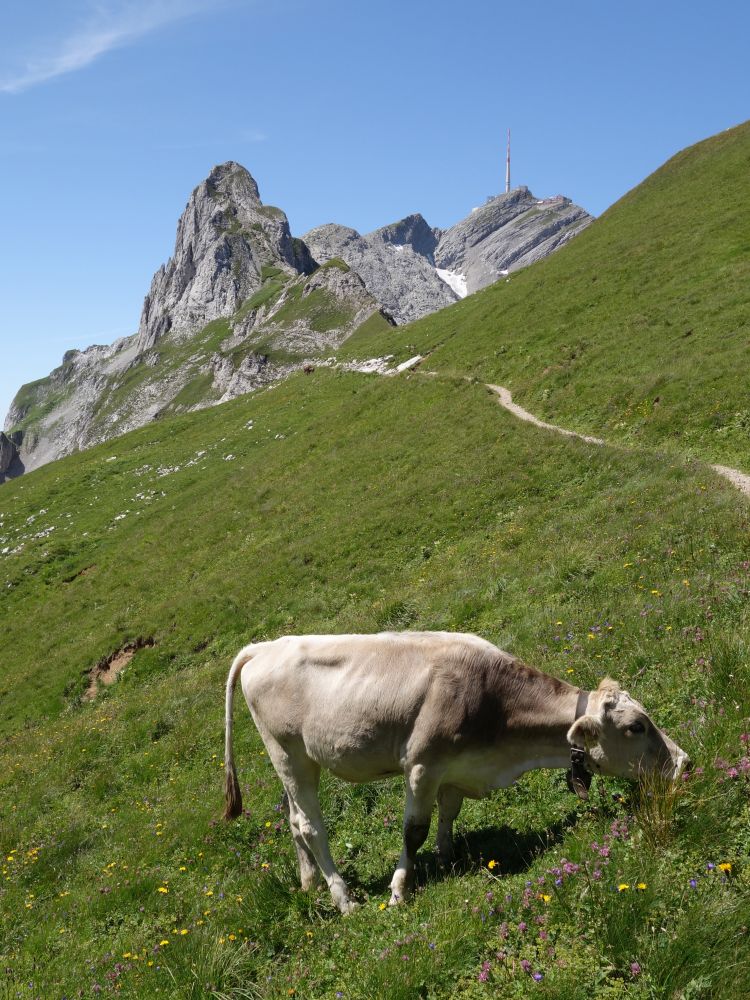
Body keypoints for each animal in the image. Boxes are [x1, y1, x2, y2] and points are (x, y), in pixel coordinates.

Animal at [225, 632, 692, 916]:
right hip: (291, 754)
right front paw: (400, 889)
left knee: (293, 820)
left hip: (291, 762)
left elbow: (449, 813)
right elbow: (413, 831)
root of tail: (263, 647)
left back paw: (310, 885)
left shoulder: (456, 769)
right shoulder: (421, 766)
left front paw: (447, 858)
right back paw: (343, 899)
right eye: (636, 727)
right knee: (311, 825)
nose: (685, 763)